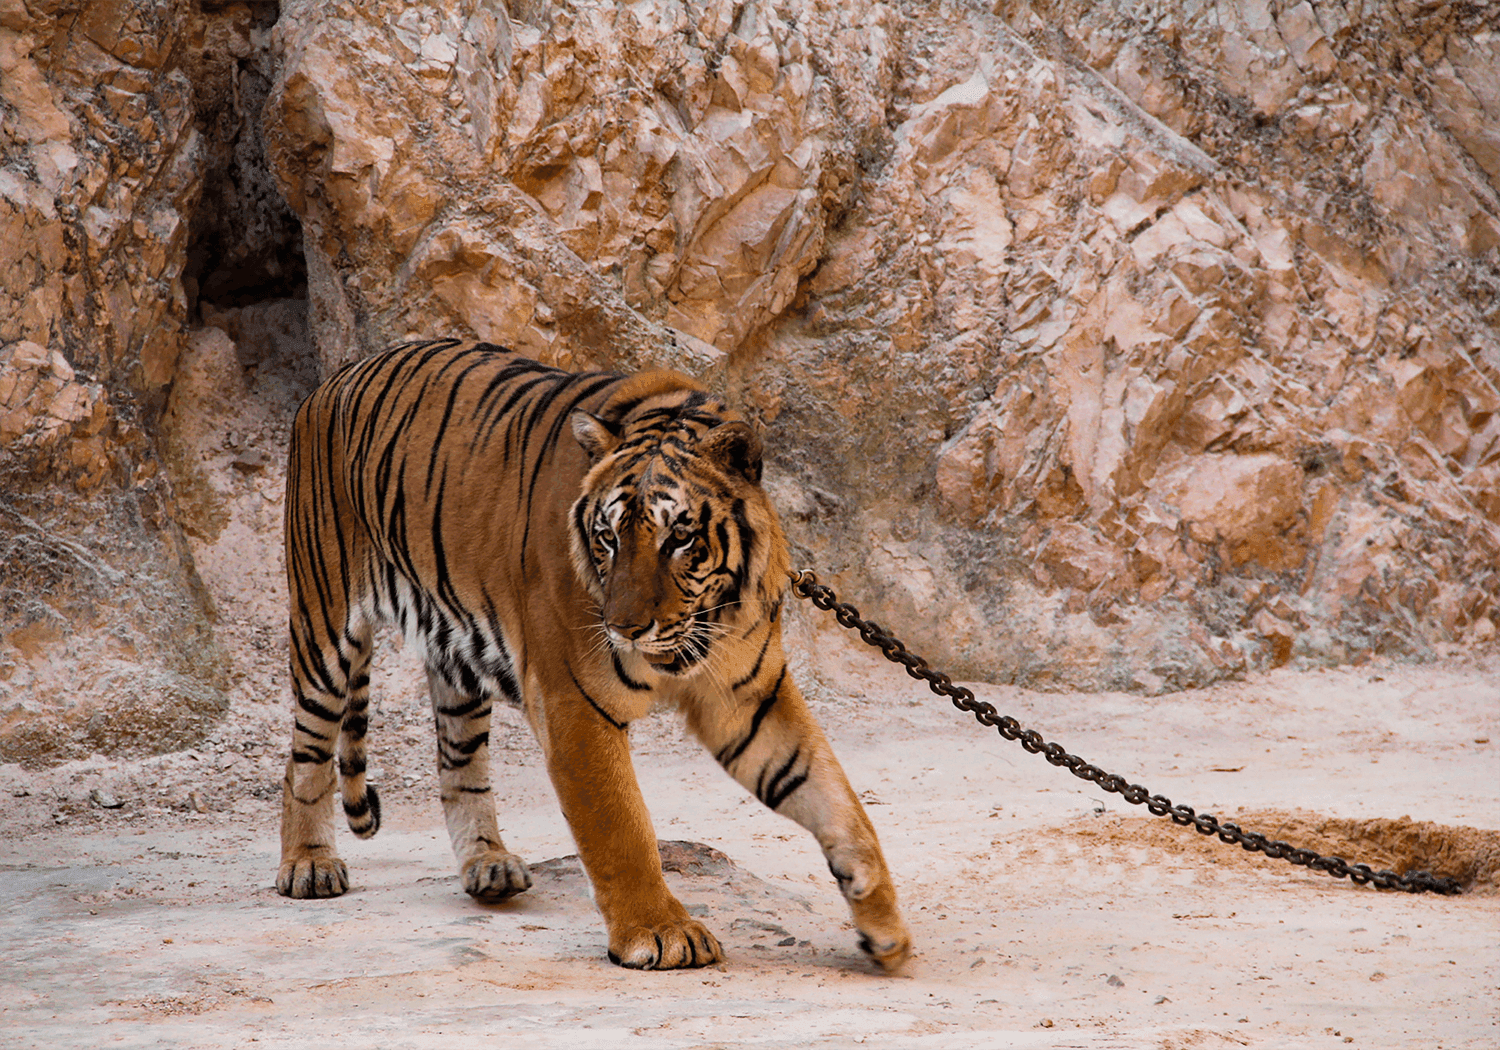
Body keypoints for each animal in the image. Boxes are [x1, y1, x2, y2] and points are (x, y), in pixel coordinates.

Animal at [275, 339, 911, 971]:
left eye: (680, 537)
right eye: (608, 537)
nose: (624, 629)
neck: (709, 620)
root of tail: (334, 378)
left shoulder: (745, 697)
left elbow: (832, 793)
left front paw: (880, 918)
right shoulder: (573, 701)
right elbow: (620, 825)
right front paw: (661, 933)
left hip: (455, 655)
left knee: (459, 761)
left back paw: (488, 864)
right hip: (324, 625)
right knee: (307, 752)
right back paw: (309, 865)